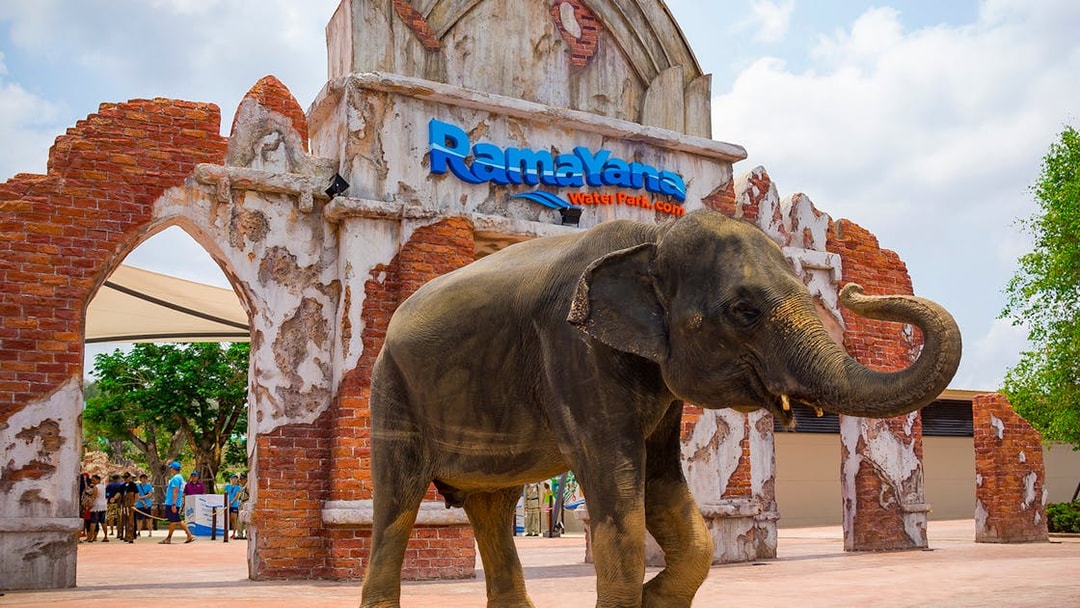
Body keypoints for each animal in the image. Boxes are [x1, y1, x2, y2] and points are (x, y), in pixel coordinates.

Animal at [359, 209, 962, 607]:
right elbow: (621, 508)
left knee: (491, 507)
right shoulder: (574, 354)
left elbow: (671, 496)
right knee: (397, 505)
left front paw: (653, 598)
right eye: (744, 310)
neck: (653, 239)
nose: (854, 290)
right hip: (391, 390)